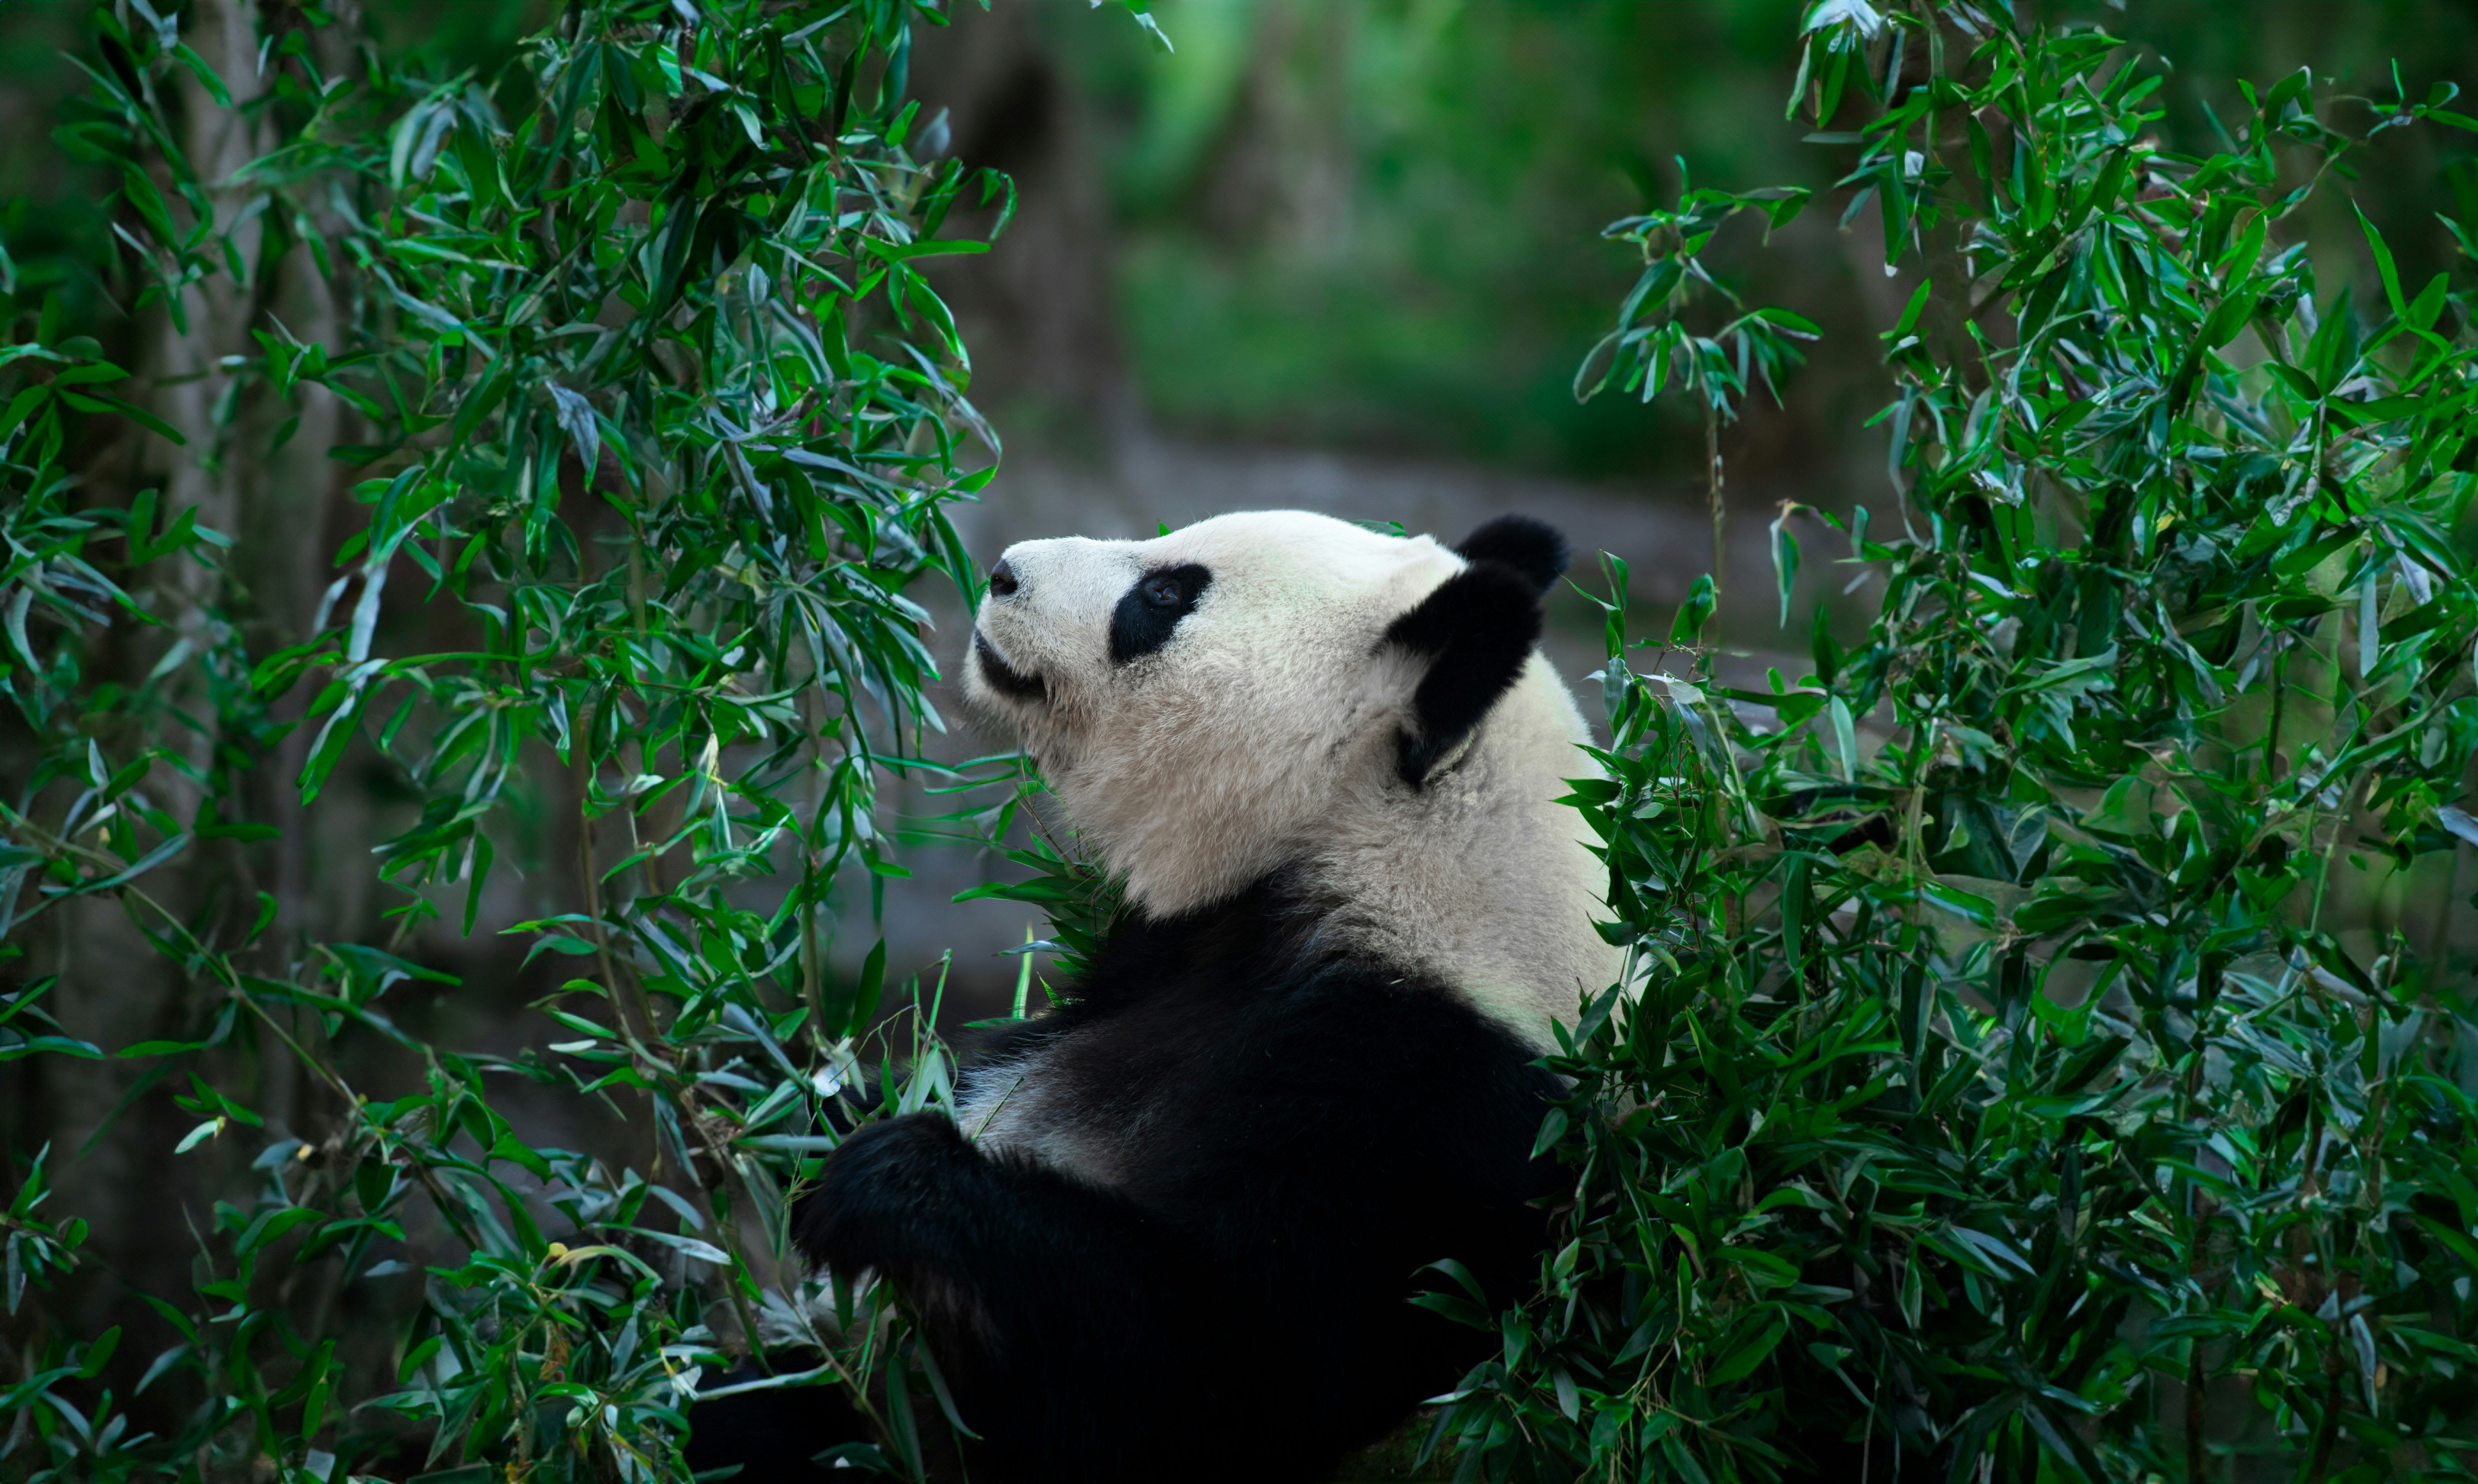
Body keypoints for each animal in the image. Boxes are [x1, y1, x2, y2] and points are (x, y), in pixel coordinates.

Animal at [787, 509, 1623, 1483]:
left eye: (1165, 595)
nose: (1001, 573)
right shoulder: (1172, 952)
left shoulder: (1438, 1118)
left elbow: (1224, 1369)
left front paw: (880, 1182)